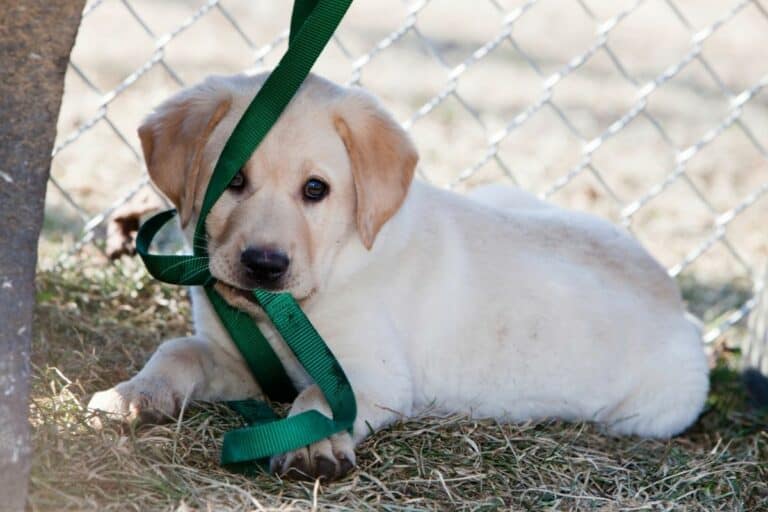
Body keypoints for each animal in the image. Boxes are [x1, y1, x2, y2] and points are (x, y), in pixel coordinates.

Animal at [88, 72, 708, 480]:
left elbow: (316, 395)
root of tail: (676, 298)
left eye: (316, 189)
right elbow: (177, 351)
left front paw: (313, 446)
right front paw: (133, 395)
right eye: (233, 181)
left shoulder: (374, 376)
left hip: (651, 411)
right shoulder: (240, 359)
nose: (263, 263)